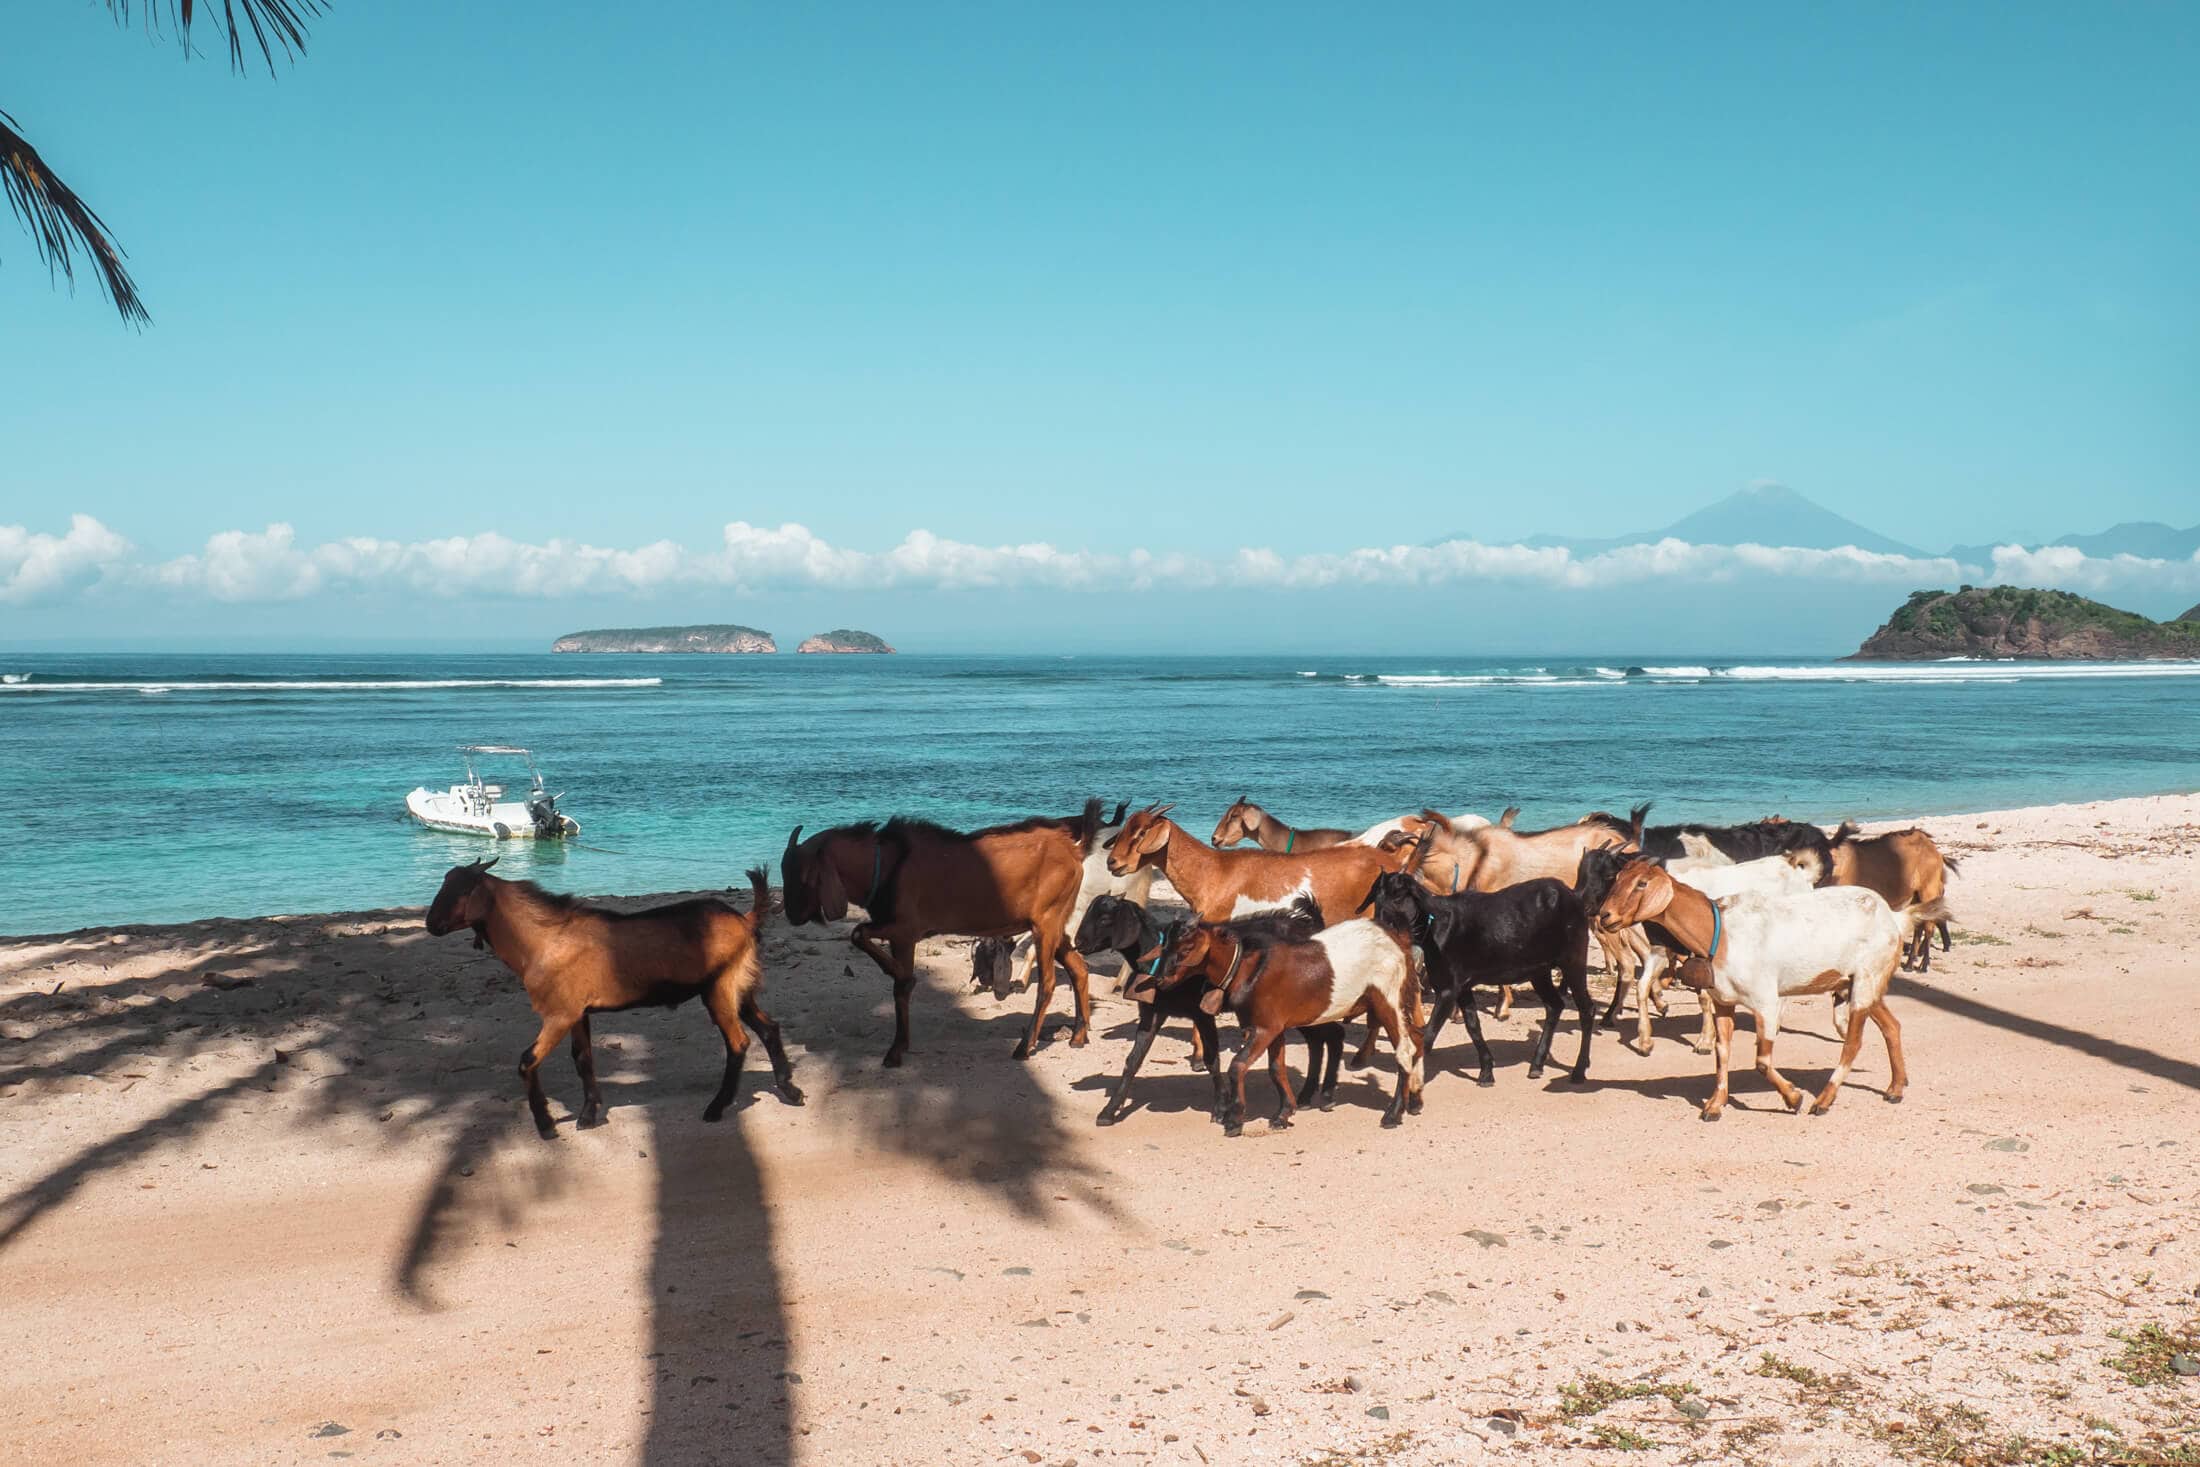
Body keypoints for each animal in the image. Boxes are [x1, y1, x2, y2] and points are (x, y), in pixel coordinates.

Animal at [420, 853, 800, 1143]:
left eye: (461, 890)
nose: (430, 924)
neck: (543, 940)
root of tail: (745, 919)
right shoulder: (578, 1012)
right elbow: (582, 1058)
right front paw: (589, 1114)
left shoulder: (559, 1013)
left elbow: (527, 1060)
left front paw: (546, 1125)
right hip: (740, 986)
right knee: (769, 1027)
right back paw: (789, 1089)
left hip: (719, 988)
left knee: (738, 1041)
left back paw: (717, 1107)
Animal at [787, 804, 1100, 1068]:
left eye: (804, 876)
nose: (791, 915)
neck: (885, 864)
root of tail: (1074, 851)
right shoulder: (893, 928)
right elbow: (866, 944)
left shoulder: (904, 930)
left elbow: (885, 968)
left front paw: (896, 1047)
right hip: (1056, 925)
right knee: (1079, 969)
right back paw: (1078, 1036)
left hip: (1045, 923)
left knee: (1047, 983)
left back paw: (1025, 1046)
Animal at [1082, 897, 1337, 1126]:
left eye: (1105, 918)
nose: (1079, 944)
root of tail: (1312, 925)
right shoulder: (1152, 1013)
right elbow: (1133, 1060)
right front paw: (1109, 1111)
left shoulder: (1202, 1014)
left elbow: (1212, 1058)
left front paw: (1221, 1109)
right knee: (1318, 1039)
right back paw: (1306, 1096)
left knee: (1332, 1035)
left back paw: (1326, 1097)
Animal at [1346, 870, 1592, 1090]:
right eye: (1377, 898)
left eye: (1399, 896)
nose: (1381, 926)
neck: (1435, 926)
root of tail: (1574, 895)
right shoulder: (1462, 987)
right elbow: (1473, 1026)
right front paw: (1486, 1072)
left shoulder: (1449, 989)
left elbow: (1429, 1034)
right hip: (1538, 970)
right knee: (1554, 1005)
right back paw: (1537, 1064)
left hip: (1574, 958)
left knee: (1586, 1009)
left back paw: (1579, 1070)